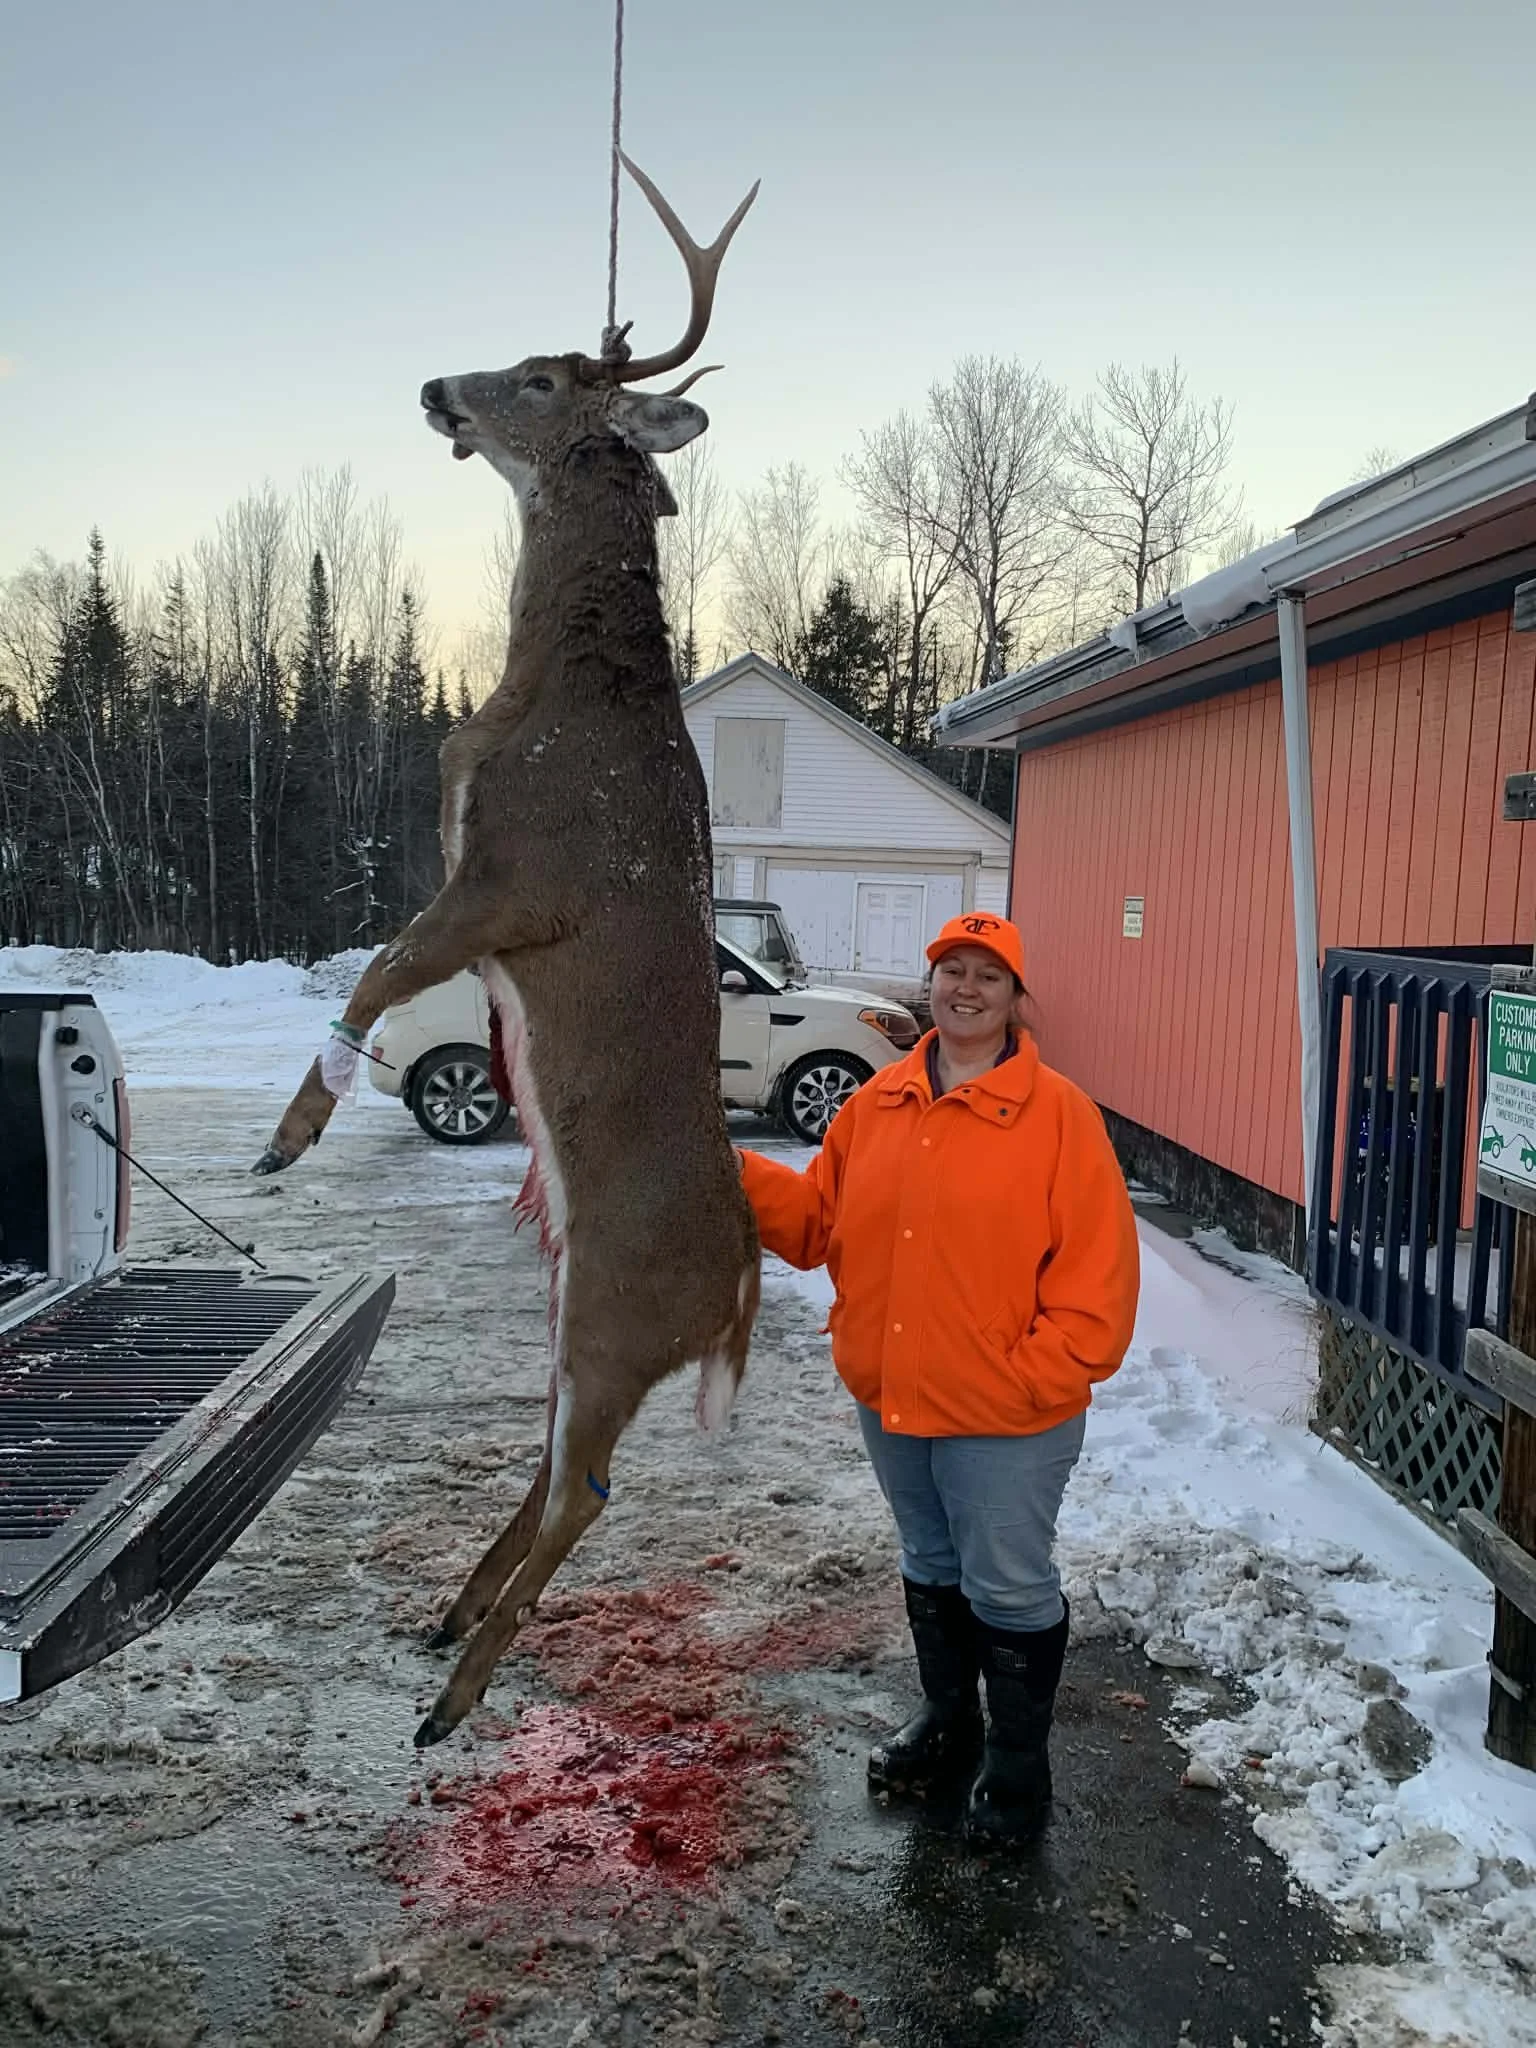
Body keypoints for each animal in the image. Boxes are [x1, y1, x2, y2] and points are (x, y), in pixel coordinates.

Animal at [250, 156, 763, 1749]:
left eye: (537, 378)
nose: (435, 386)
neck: (555, 687)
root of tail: (740, 1287)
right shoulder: (471, 894)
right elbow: (384, 975)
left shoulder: (510, 882)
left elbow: (371, 973)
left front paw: (288, 1137)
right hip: (569, 1308)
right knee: (551, 1471)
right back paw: (452, 1613)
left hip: (605, 1312)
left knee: (587, 1485)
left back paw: (458, 1689)